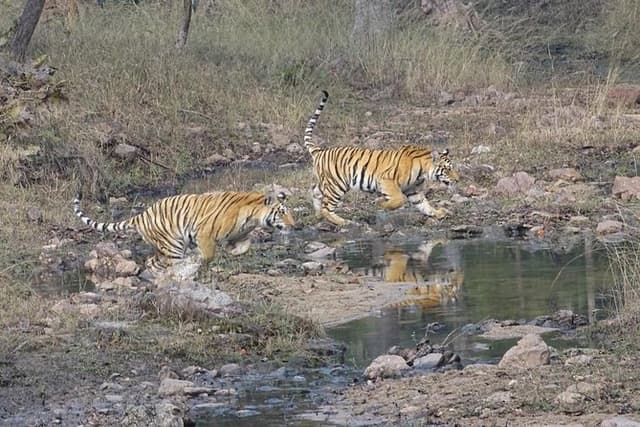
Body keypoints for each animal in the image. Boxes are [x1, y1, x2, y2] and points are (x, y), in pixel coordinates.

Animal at [73, 190, 295, 268]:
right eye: (282, 212)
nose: (294, 225)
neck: (252, 217)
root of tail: (141, 214)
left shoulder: (239, 234)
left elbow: (245, 245)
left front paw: (233, 252)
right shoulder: (204, 232)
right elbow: (208, 254)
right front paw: (199, 260)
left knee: (153, 261)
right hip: (173, 244)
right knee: (169, 261)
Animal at [303, 90, 459, 226]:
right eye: (447, 169)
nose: (458, 180)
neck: (423, 171)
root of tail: (319, 151)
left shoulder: (413, 190)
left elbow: (424, 205)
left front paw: (438, 213)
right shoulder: (387, 180)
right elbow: (398, 200)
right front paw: (380, 203)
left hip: (327, 183)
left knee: (315, 192)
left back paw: (318, 215)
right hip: (336, 185)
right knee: (327, 207)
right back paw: (343, 222)